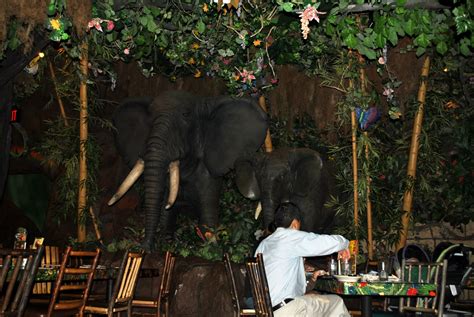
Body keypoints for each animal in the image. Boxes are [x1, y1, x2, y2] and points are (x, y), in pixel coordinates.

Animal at [109, 90, 268, 251]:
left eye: (186, 115)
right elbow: (166, 218)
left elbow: (207, 219)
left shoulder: (208, 175)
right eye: (150, 116)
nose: (144, 248)